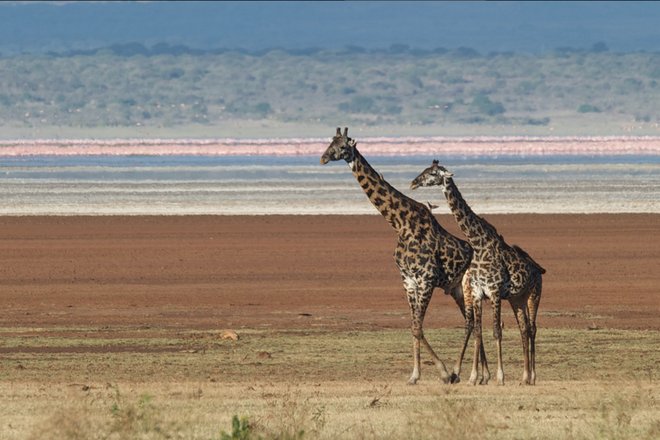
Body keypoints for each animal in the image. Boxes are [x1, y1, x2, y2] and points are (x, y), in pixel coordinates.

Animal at [322, 128, 488, 384]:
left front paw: (443, 373)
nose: (323, 158)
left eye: (342, 147)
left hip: (470, 287)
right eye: (330, 142)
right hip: (457, 290)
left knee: (475, 323)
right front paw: (415, 375)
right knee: (471, 322)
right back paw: (480, 375)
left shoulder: (426, 279)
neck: (400, 224)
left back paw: (471, 375)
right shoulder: (408, 280)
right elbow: (413, 327)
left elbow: (418, 327)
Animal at [412, 159, 548, 384]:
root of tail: (539, 269)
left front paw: (499, 377)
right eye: (424, 170)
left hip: (534, 294)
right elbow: (477, 331)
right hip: (517, 299)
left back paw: (533, 376)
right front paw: (473, 377)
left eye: (432, 173)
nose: (414, 182)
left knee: (533, 329)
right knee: (524, 329)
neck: (478, 243)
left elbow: (496, 332)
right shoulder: (477, 293)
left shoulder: (494, 292)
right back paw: (525, 377)